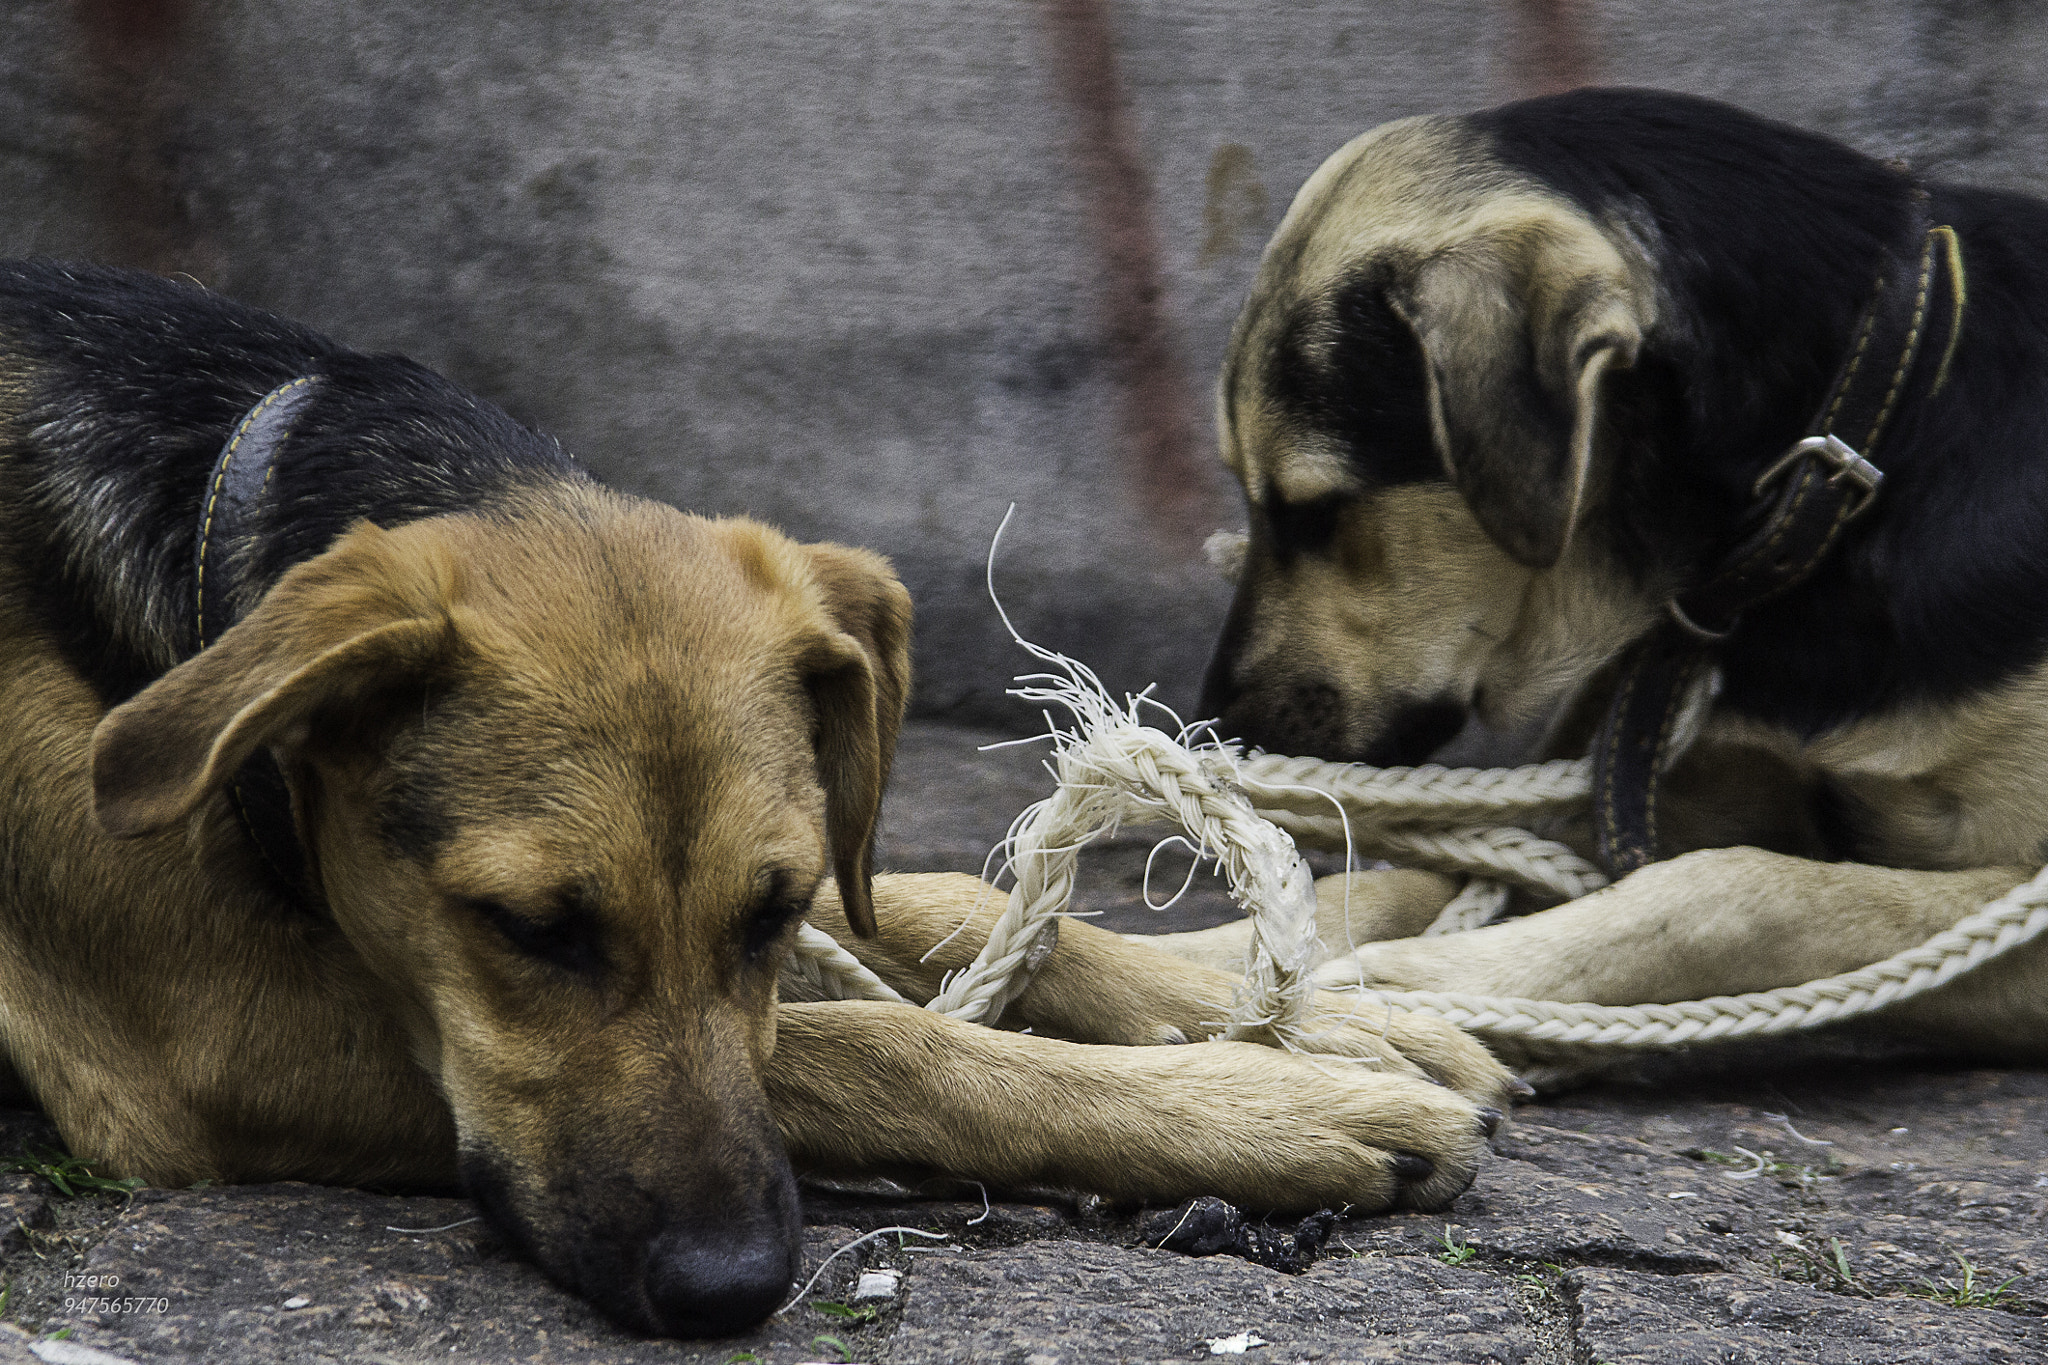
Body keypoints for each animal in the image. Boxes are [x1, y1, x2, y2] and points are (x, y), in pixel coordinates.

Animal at [0, 261, 1507, 1342]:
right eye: (527, 929)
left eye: (772, 912)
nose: (726, 1290)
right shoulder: (213, 1036)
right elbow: (879, 1046)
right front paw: (1279, 1110)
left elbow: (939, 908)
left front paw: (1328, 1033)